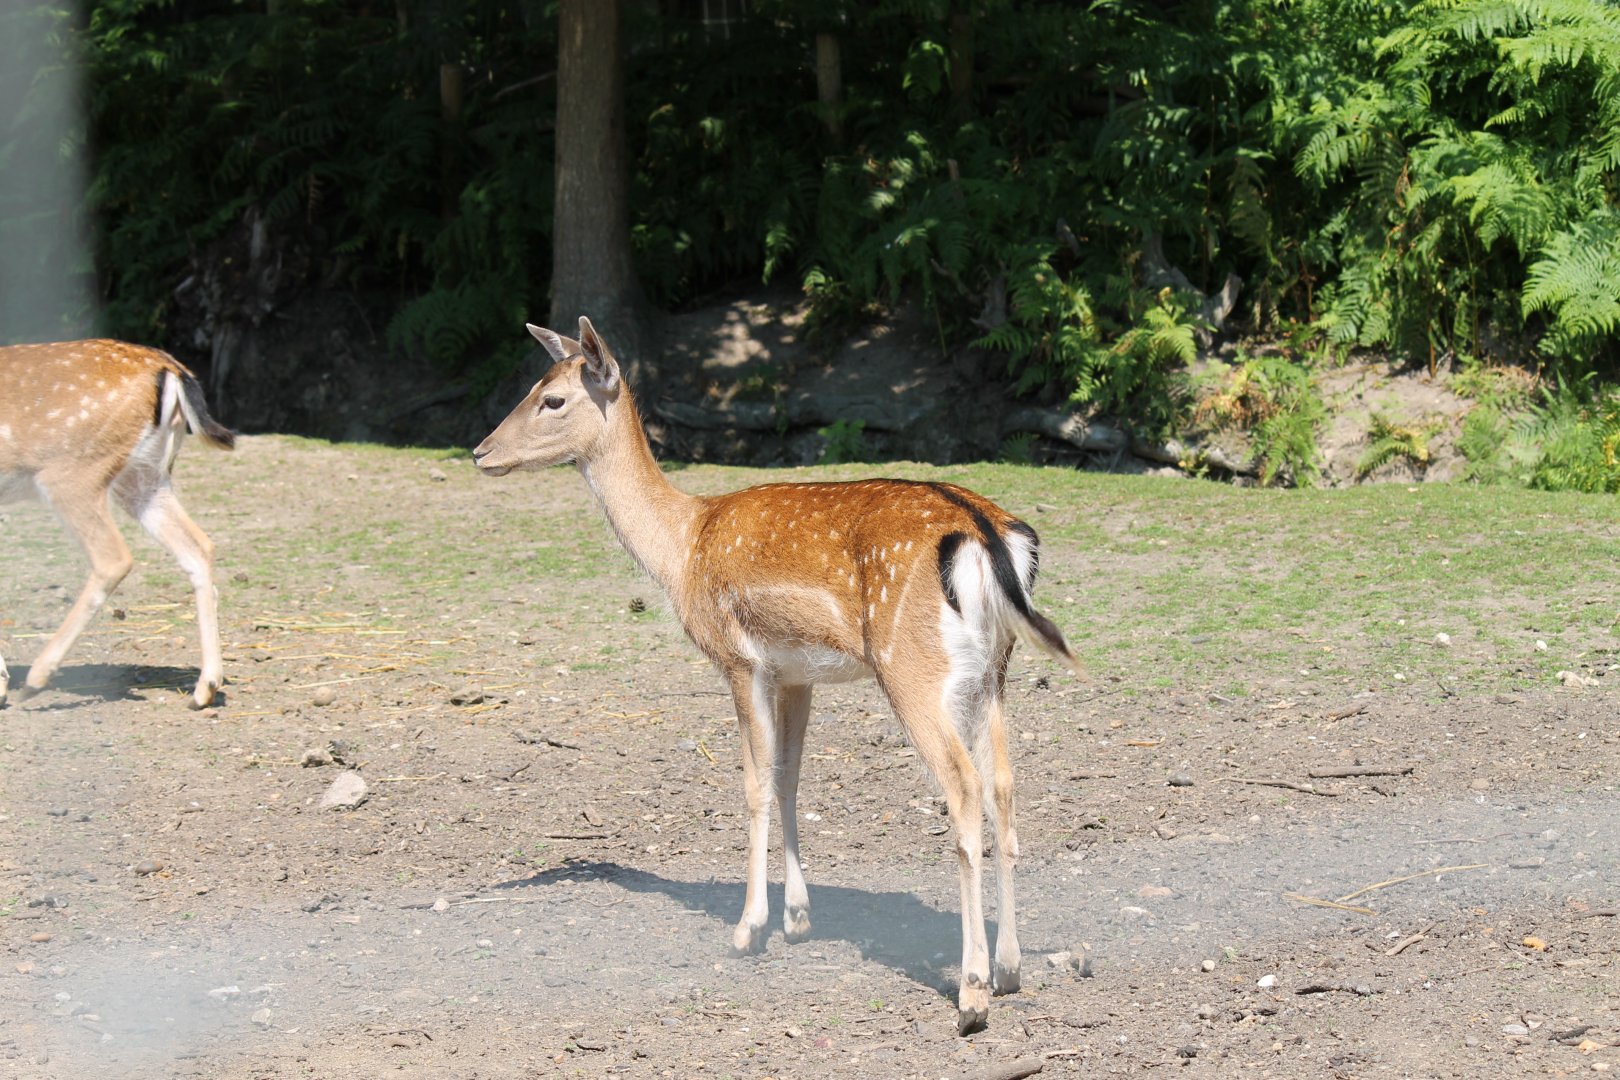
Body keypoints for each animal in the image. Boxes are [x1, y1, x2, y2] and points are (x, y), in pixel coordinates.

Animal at [0, 340, 234, 710]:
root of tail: (171, 370)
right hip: (145, 476)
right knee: (199, 545)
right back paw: (205, 689)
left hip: (74, 472)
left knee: (113, 558)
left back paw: (36, 679)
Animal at [473, 317, 1081, 1034]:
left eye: (554, 399)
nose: (481, 451)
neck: (682, 548)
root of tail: (991, 537)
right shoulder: (797, 673)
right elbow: (791, 778)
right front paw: (797, 918)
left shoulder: (739, 659)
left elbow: (755, 783)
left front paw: (748, 928)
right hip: (992, 673)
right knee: (1005, 786)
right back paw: (1011, 969)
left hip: (913, 668)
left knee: (963, 789)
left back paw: (973, 992)